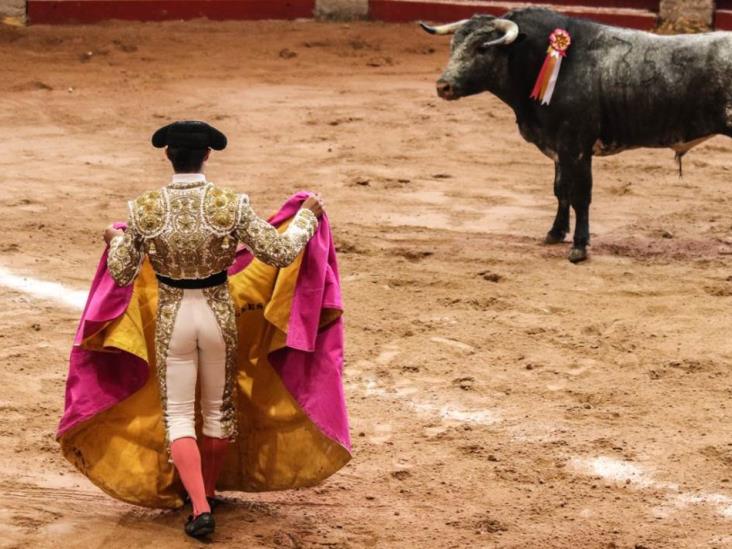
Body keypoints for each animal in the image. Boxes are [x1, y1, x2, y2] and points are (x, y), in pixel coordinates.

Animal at [424, 7, 732, 262]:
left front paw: (579, 247)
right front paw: (555, 233)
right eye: (453, 45)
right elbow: (561, 189)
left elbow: (580, 194)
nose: (443, 86)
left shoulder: (577, 144)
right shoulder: (558, 147)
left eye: (482, 49)